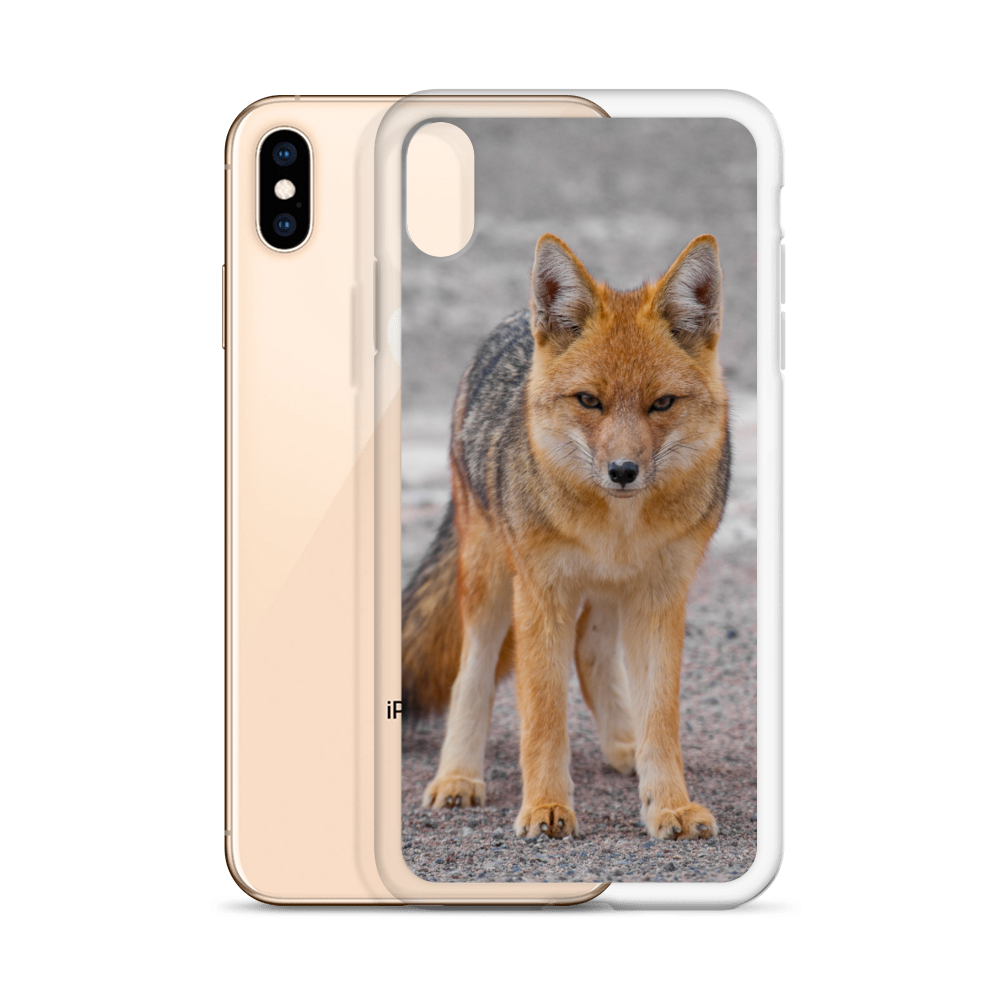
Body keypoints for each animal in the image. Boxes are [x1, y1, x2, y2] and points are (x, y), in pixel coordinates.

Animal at [402, 233, 730, 841]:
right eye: (589, 401)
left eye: (661, 403)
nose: (622, 471)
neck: (615, 531)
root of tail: (510, 322)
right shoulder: (542, 594)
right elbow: (544, 716)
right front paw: (547, 806)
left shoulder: (660, 597)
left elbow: (661, 717)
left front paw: (668, 805)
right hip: (491, 582)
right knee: (472, 673)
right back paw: (457, 776)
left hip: (606, 596)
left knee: (590, 653)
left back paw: (624, 748)